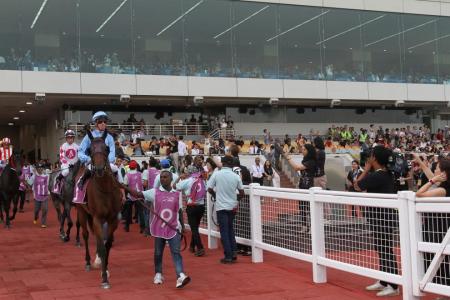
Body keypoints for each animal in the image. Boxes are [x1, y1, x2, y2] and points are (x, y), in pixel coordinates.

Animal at [75, 133, 121, 288]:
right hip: (82, 212)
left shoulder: (113, 219)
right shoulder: (97, 218)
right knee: (85, 234)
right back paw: (88, 262)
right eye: (89, 150)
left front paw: (105, 269)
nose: (100, 169)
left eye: (107, 148)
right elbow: (101, 246)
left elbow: (107, 245)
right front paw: (104, 278)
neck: (105, 189)